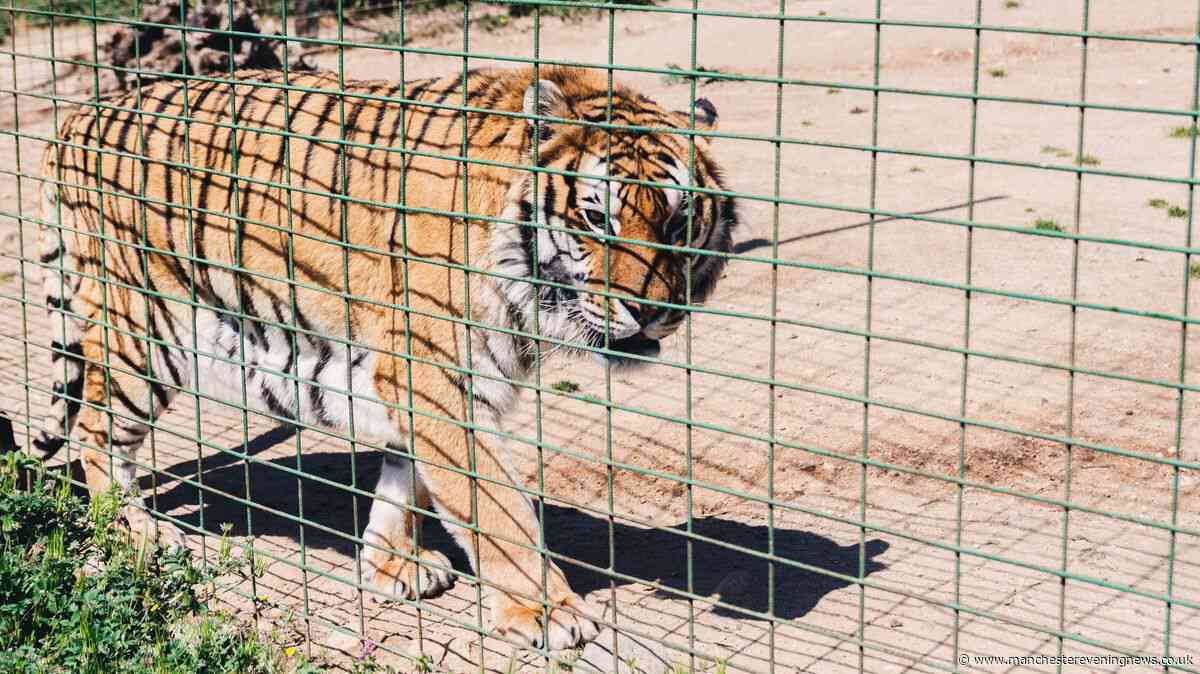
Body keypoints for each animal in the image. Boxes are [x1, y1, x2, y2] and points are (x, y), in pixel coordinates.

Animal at [33, 65, 736, 650]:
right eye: (595, 219)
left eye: (677, 223)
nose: (649, 310)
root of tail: (75, 119)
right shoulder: (432, 376)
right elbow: (497, 508)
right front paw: (546, 611)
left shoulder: (420, 384)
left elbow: (407, 482)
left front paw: (394, 562)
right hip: (145, 333)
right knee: (95, 430)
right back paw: (139, 531)